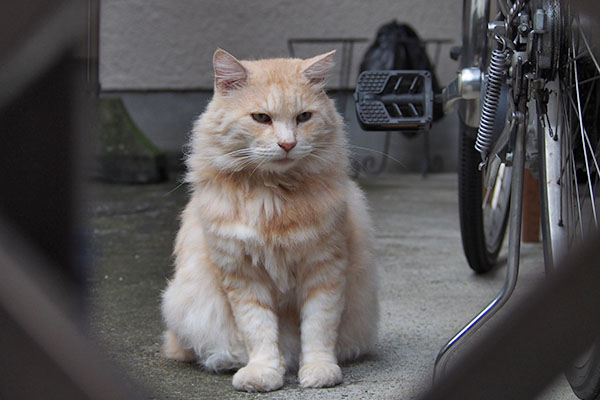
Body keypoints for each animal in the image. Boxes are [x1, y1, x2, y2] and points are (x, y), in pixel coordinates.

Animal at [162, 48, 378, 392]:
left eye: (303, 117)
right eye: (261, 118)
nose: (288, 144)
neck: (273, 194)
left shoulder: (324, 268)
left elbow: (318, 328)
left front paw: (318, 370)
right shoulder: (242, 275)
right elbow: (259, 330)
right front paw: (263, 372)